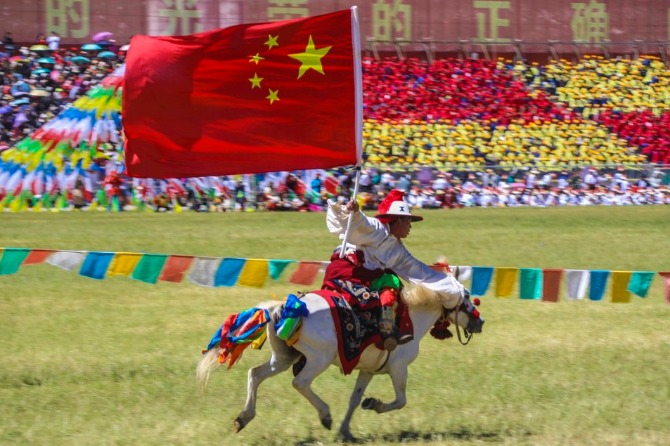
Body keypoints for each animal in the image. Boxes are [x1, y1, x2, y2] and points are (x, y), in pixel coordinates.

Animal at [197, 284, 486, 440]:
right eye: (467, 298)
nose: (480, 322)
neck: (411, 318)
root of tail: (284, 307)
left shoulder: (369, 370)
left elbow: (354, 399)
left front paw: (346, 431)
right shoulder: (398, 368)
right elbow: (401, 400)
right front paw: (374, 405)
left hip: (282, 358)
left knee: (255, 374)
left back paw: (242, 418)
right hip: (318, 359)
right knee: (300, 382)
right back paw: (325, 415)